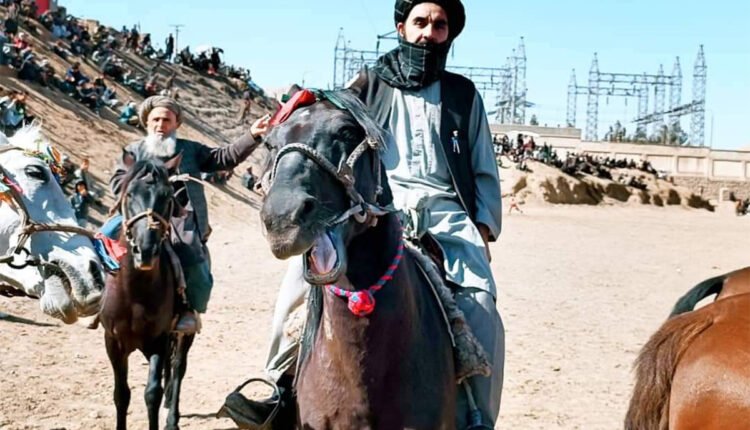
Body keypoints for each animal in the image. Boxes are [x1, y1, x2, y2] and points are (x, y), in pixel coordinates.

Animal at [99, 153, 194, 430]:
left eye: (167, 196)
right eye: (129, 194)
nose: (146, 250)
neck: (135, 293)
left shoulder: (157, 341)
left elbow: (152, 393)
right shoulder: (114, 343)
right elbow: (121, 394)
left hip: (184, 333)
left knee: (178, 367)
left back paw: (172, 418)